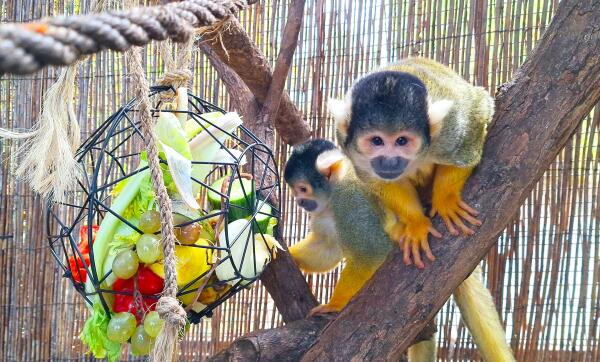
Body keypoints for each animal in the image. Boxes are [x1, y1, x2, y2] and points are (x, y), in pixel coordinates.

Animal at [284, 140, 512, 362]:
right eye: (294, 190)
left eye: (302, 189)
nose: (299, 201)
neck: (332, 197)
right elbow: (328, 250)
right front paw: (287, 254)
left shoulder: (350, 201)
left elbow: (371, 253)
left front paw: (335, 304)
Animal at [328, 56, 492, 268]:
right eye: (377, 141)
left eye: (402, 141)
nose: (389, 162)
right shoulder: (345, 140)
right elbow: (380, 182)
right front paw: (416, 223)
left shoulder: (453, 124)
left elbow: (469, 141)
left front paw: (446, 200)